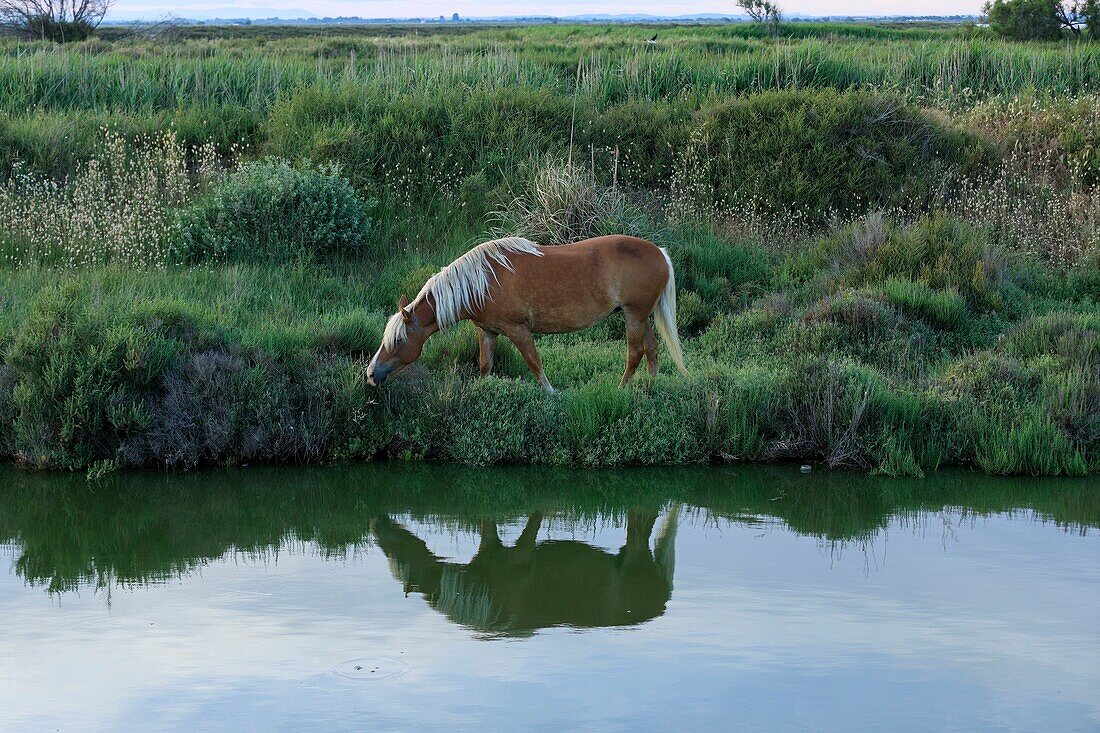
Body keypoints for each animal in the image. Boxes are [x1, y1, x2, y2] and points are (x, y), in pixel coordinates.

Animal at [365, 236, 682, 391]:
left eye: (397, 341)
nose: (370, 374)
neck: (483, 281)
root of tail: (660, 252)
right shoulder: (487, 331)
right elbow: (485, 365)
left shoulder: (518, 330)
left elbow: (534, 364)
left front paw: (551, 394)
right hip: (641, 316)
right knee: (652, 349)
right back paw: (650, 388)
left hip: (634, 316)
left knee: (635, 353)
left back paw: (620, 389)